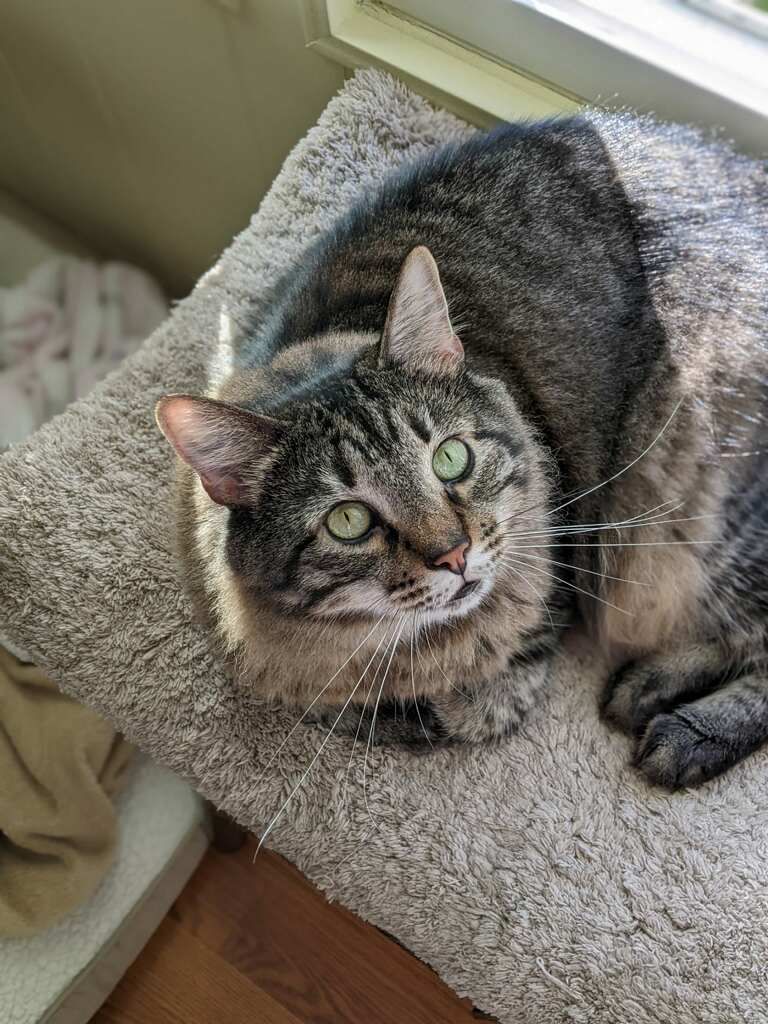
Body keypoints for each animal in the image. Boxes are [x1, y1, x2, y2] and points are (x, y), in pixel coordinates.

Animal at [156, 110, 768, 782]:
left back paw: (680, 725)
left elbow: (480, 703)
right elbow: (347, 704)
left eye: (451, 458)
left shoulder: (558, 568)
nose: (454, 555)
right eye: (348, 521)